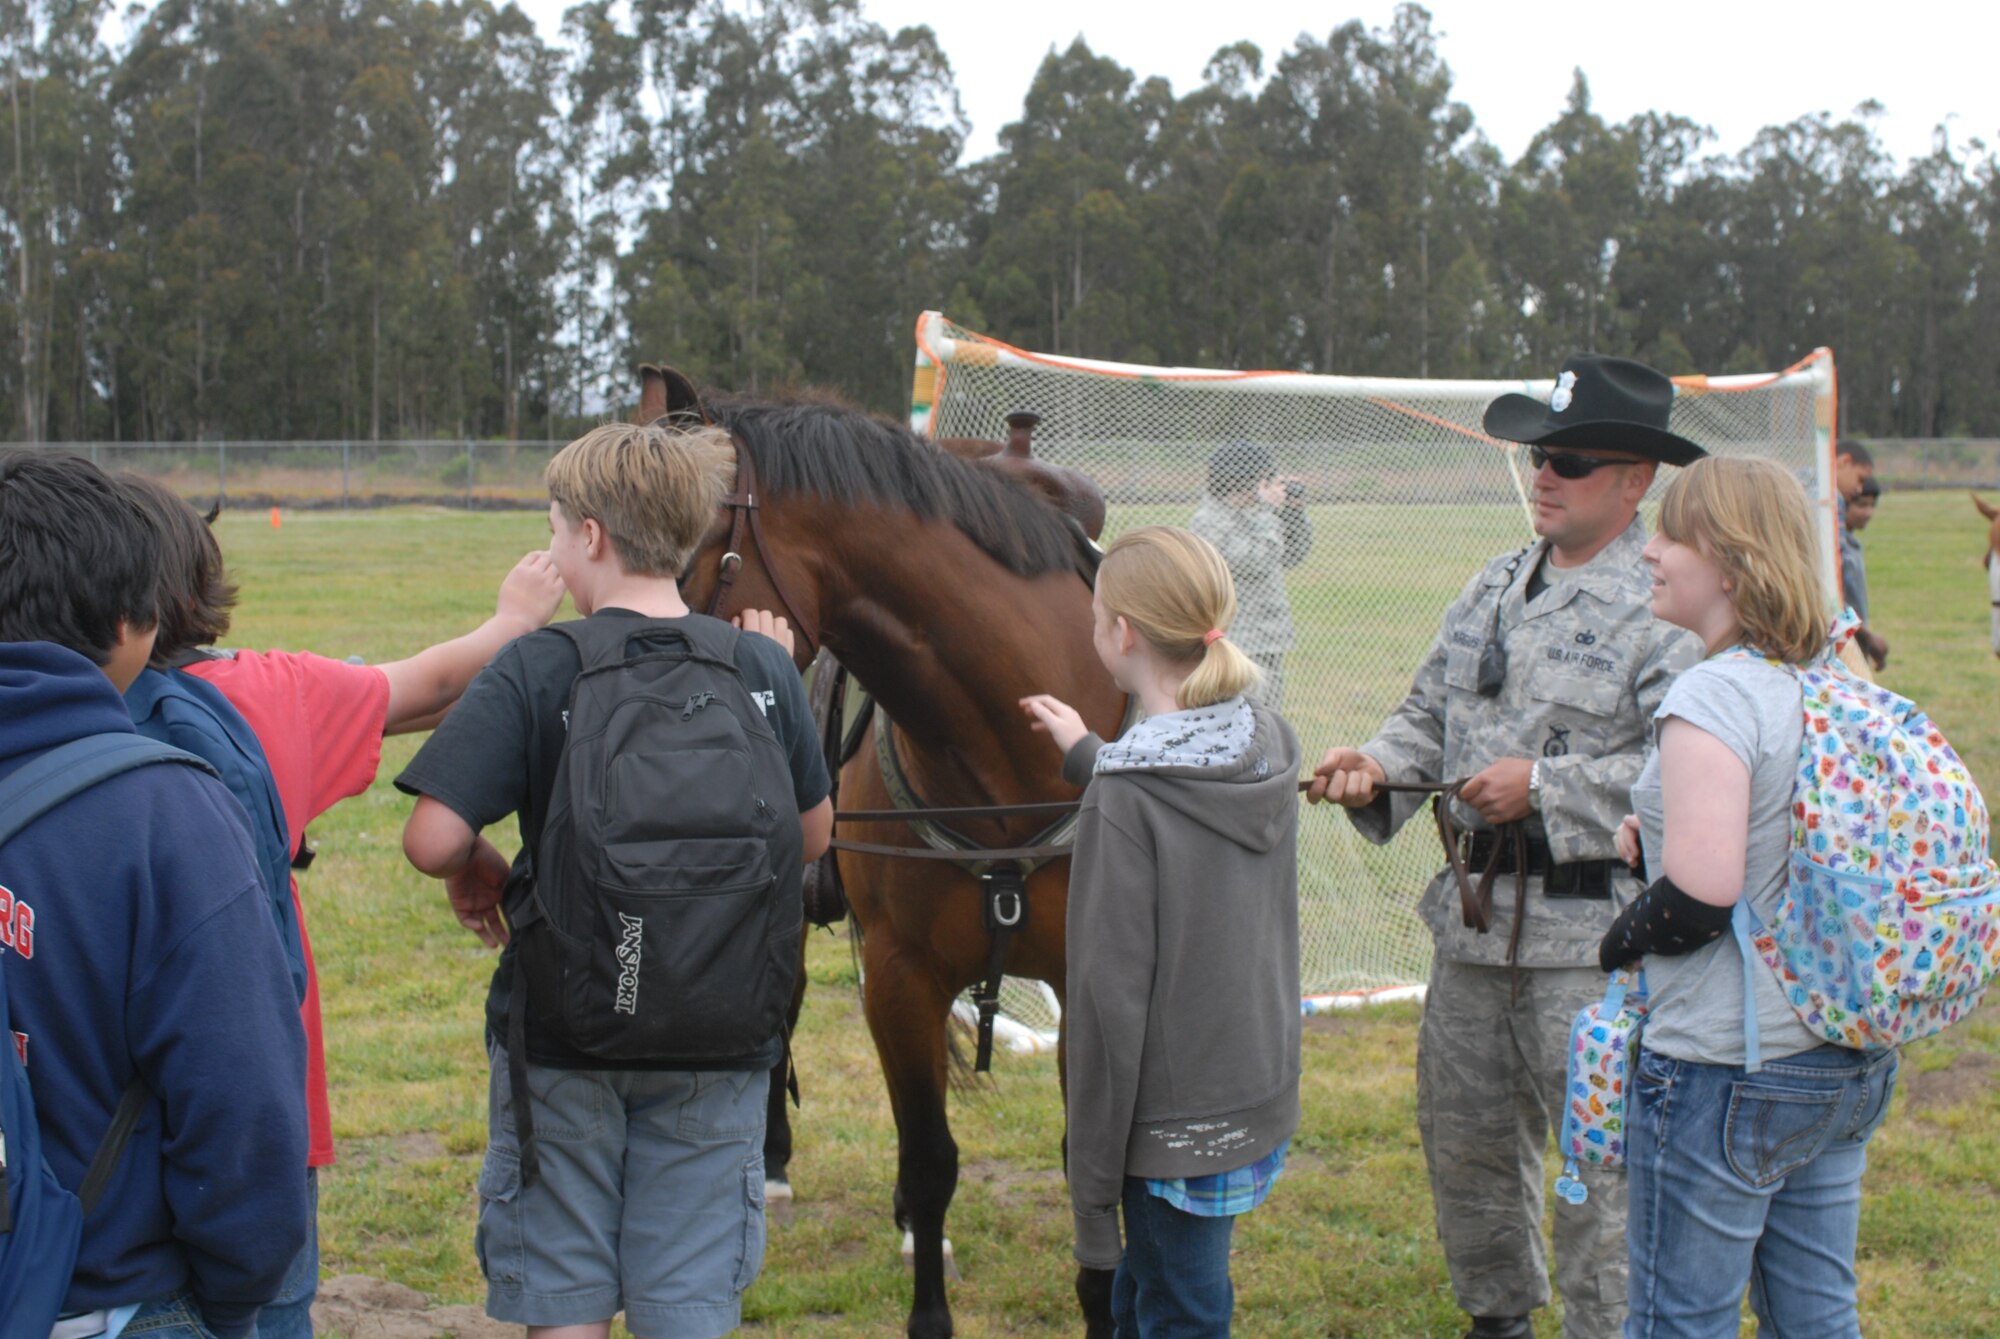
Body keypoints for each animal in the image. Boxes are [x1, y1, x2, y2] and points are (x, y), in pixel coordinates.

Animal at [656, 371, 1128, 1335]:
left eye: (677, 555)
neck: (1008, 751)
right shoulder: (904, 977)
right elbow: (929, 1156)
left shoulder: (1083, 977)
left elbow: (1082, 1163)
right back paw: (776, 1164)